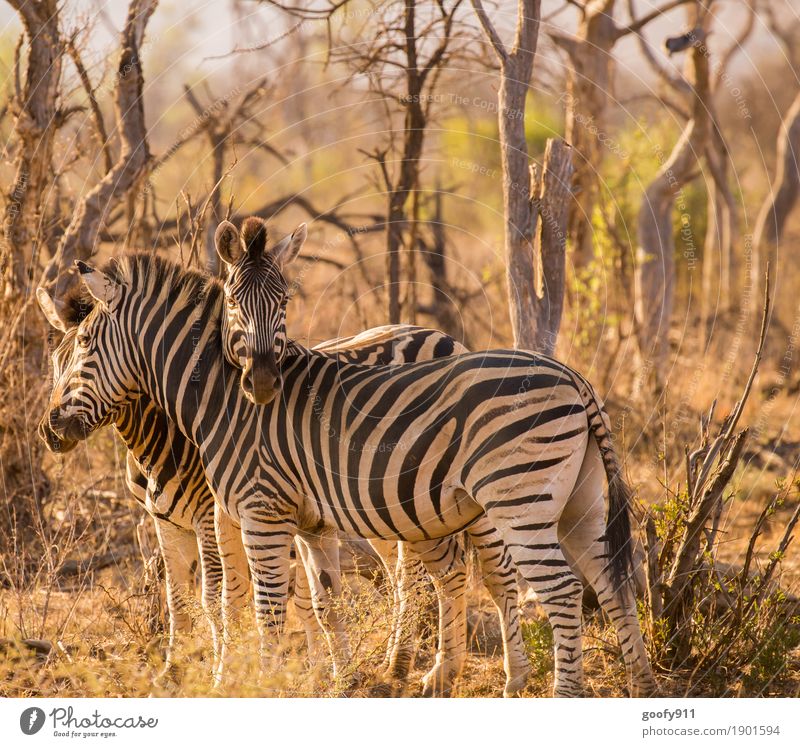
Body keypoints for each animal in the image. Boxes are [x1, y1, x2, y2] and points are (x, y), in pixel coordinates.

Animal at [40, 251, 656, 696]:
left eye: (86, 347)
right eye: (54, 359)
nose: (49, 430)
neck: (225, 400)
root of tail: (574, 377)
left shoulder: (255, 513)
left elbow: (253, 605)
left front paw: (249, 683)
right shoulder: (299, 521)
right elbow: (311, 599)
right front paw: (327, 678)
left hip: (516, 502)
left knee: (553, 587)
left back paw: (553, 692)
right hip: (574, 503)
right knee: (608, 581)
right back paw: (638, 685)